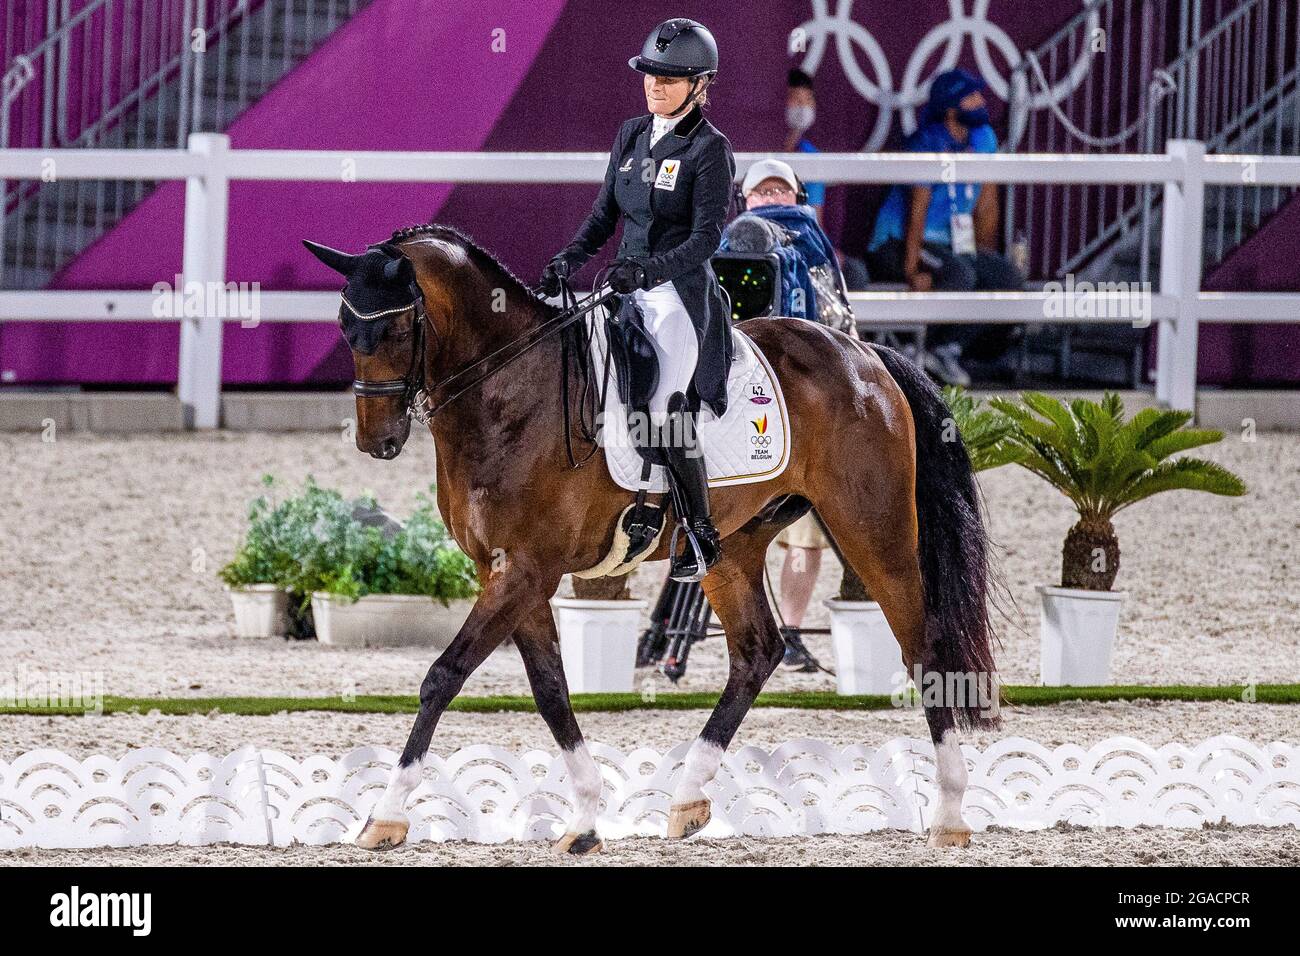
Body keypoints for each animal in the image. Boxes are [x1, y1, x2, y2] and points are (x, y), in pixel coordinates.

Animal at [306, 222, 1003, 853]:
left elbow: (442, 676)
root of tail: (863, 354)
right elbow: (550, 690)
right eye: (344, 327)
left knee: (923, 648)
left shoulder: (525, 570)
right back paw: (688, 799)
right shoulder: (506, 571)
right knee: (758, 650)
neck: (508, 395)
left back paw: (949, 815)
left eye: (398, 330)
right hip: (734, 545)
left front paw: (385, 818)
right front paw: (586, 819)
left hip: (872, 527)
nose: (376, 441)